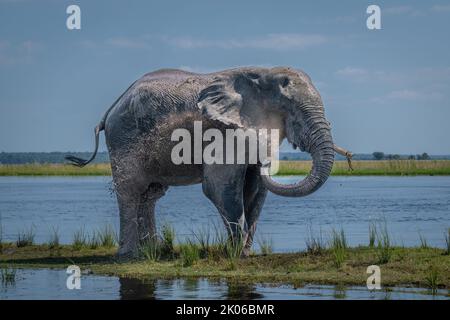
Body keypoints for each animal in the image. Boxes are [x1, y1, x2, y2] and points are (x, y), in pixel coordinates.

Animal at [65, 67, 352, 258]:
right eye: (292, 112)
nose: (266, 161)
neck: (261, 74)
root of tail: (110, 109)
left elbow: (255, 191)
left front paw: (246, 252)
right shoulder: (224, 132)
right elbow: (218, 187)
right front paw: (236, 254)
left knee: (151, 194)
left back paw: (154, 251)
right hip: (123, 138)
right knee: (131, 190)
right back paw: (130, 255)